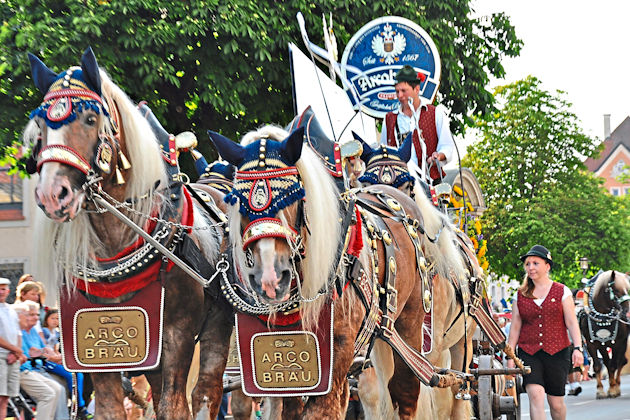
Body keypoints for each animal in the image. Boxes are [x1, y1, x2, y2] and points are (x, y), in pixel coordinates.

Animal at [22, 47, 235, 418]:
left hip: (217, 326)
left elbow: (174, 406)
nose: (51, 194)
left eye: (89, 119)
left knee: (206, 392)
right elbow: (111, 408)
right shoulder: (97, 349)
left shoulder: (177, 336)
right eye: (42, 124)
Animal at [207, 124, 464, 420]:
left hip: (412, 327)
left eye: (292, 196)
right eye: (237, 201)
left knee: (406, 392)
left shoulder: (337, 362)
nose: (270, 279)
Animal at [584, 270, 630, 398]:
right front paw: (600, 391)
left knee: (621, 362)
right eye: (616, 290)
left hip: (622, 343)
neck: (602, 314)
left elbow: (614, 365)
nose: (627, 312)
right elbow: (597, 366)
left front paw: (613, 389)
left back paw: (616, 386)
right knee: (607, 363)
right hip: (603, 345)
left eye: (628, 289)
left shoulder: (617, 343)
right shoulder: (591, 343)